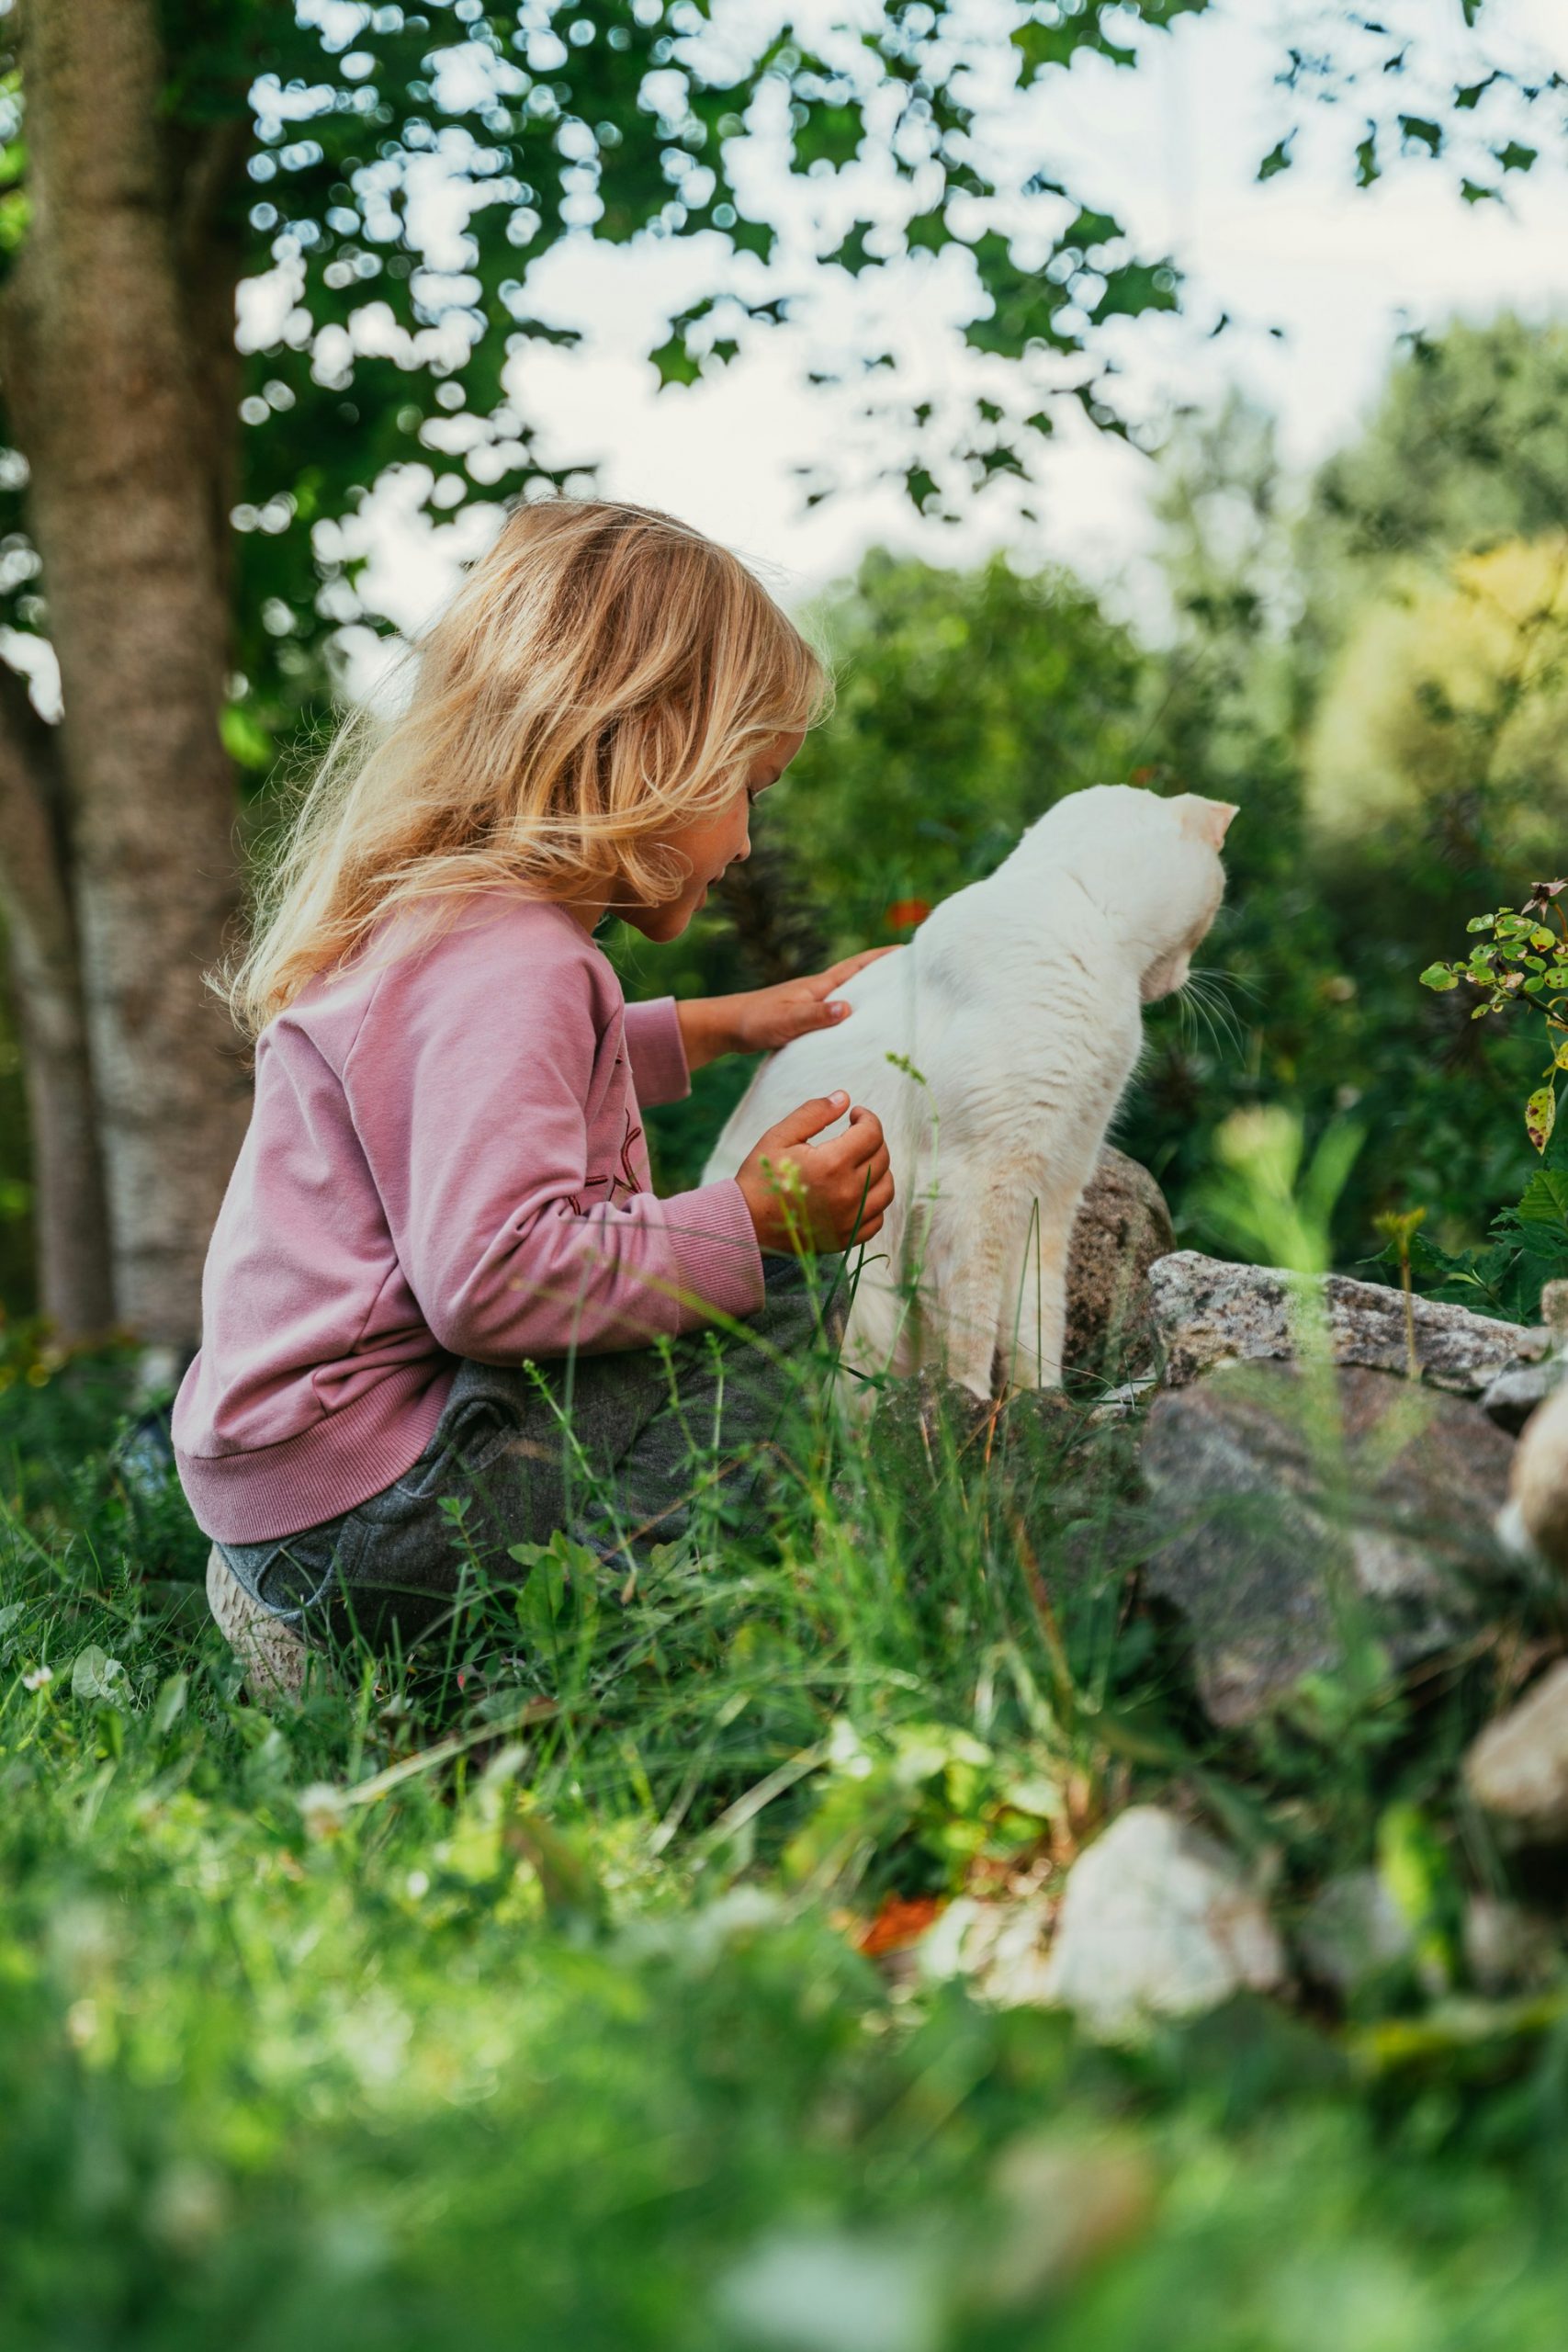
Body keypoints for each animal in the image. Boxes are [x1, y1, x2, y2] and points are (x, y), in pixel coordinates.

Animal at [709, 780, 1241, 1392]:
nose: (1180, 979)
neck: (1083, 908)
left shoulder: (1052, 1188)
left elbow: (1037, 1319)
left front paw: (1039, 1401)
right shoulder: (976, 1186)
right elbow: (970, 1328)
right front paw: (965, 1403)